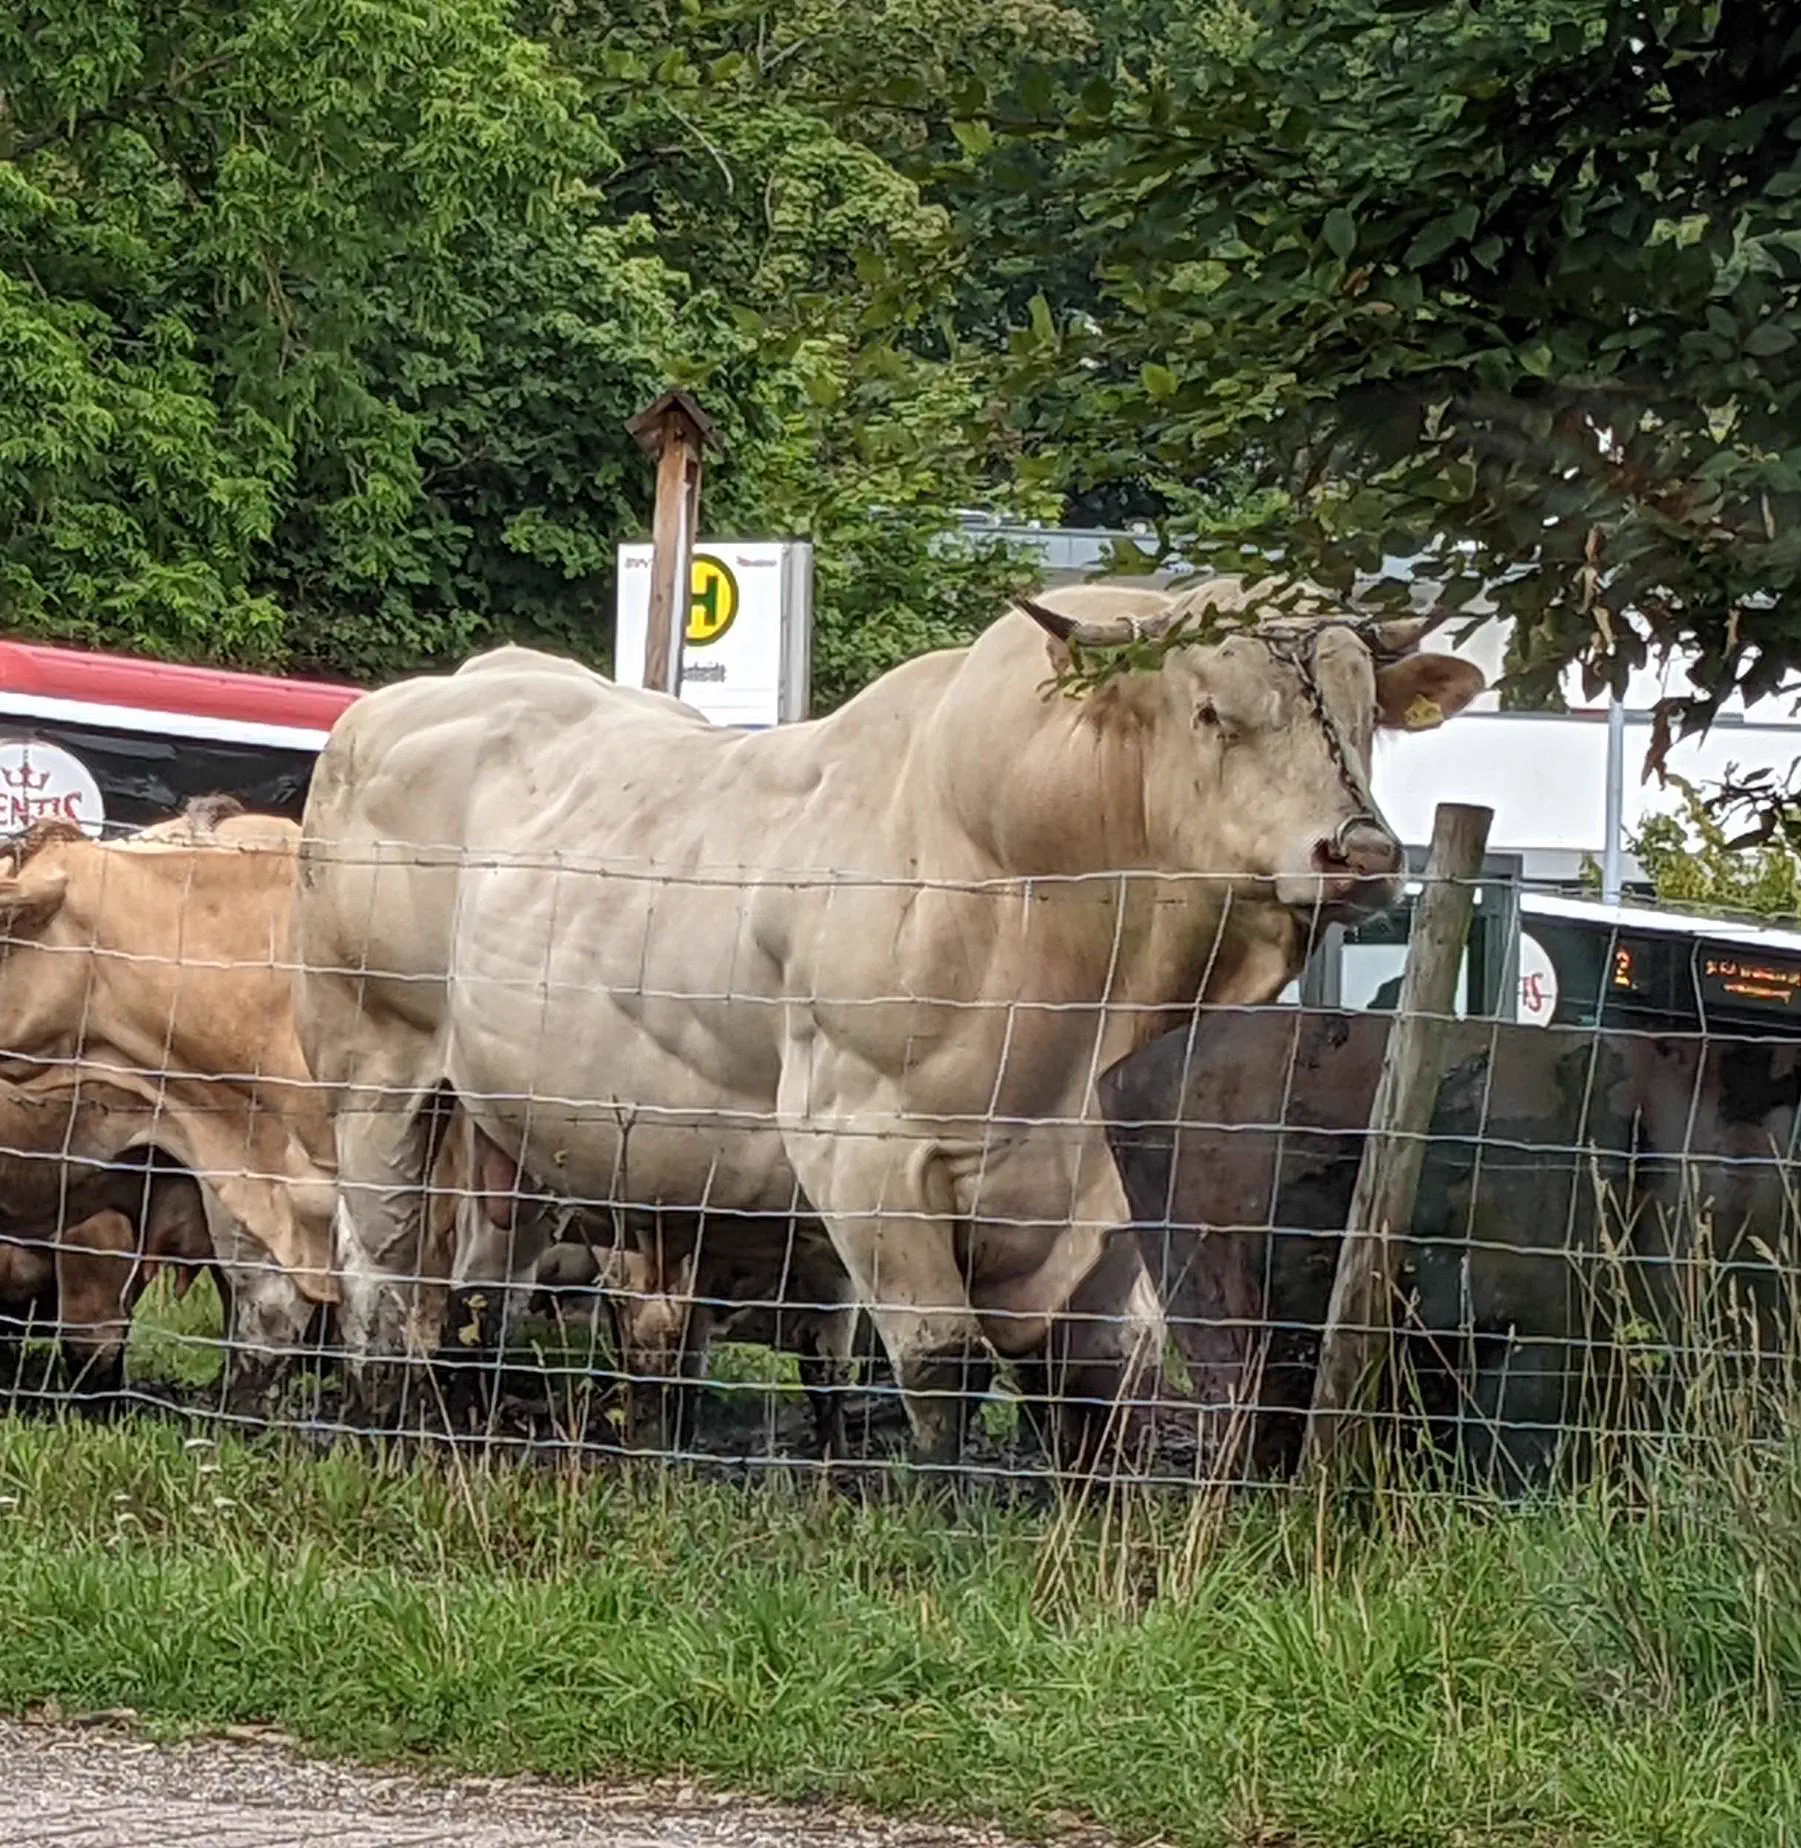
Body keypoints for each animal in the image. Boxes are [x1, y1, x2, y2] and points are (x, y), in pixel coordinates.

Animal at [293, 576, 1486, 1463]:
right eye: (1210, 713)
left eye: (1366, 718)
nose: (1360, 853)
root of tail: (398, 705)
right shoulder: (863, 1150)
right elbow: (939, 1364)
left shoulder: (1092, 1193)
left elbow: (1102, 1380)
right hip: (377, 1076)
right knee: (379, 1272)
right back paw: (379, 1421)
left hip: (513, 1129)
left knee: (477, 1290)